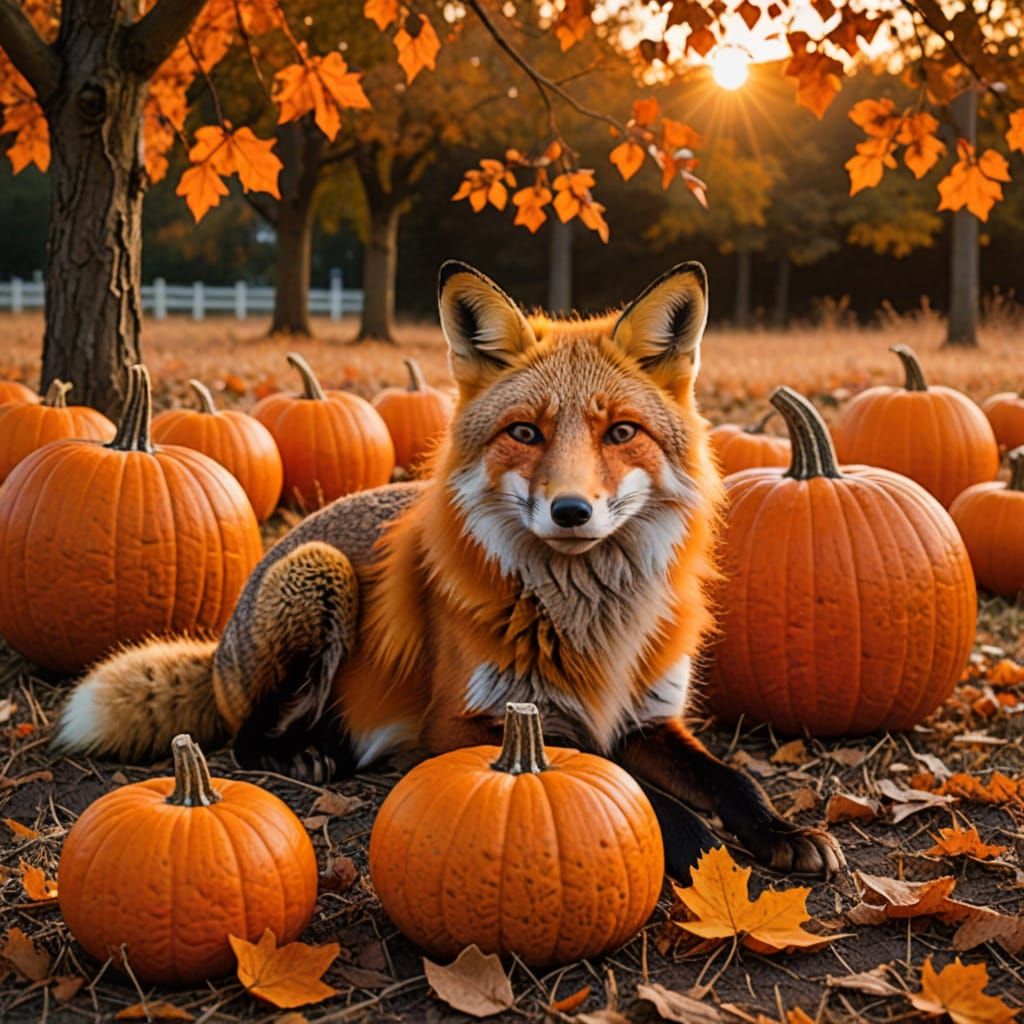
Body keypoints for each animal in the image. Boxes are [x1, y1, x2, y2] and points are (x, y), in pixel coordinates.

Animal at [54, 260, 842, 880]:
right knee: (242, 736)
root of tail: (219, 644)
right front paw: (707, 850)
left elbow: (734, 778)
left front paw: (784, 830)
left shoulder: (643, 718)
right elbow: (635, 794)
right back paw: (307, 755)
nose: (571, 511)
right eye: (525, 432)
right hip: (320, 576)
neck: (591, 624)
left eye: (621, 432)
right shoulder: (465, 726)